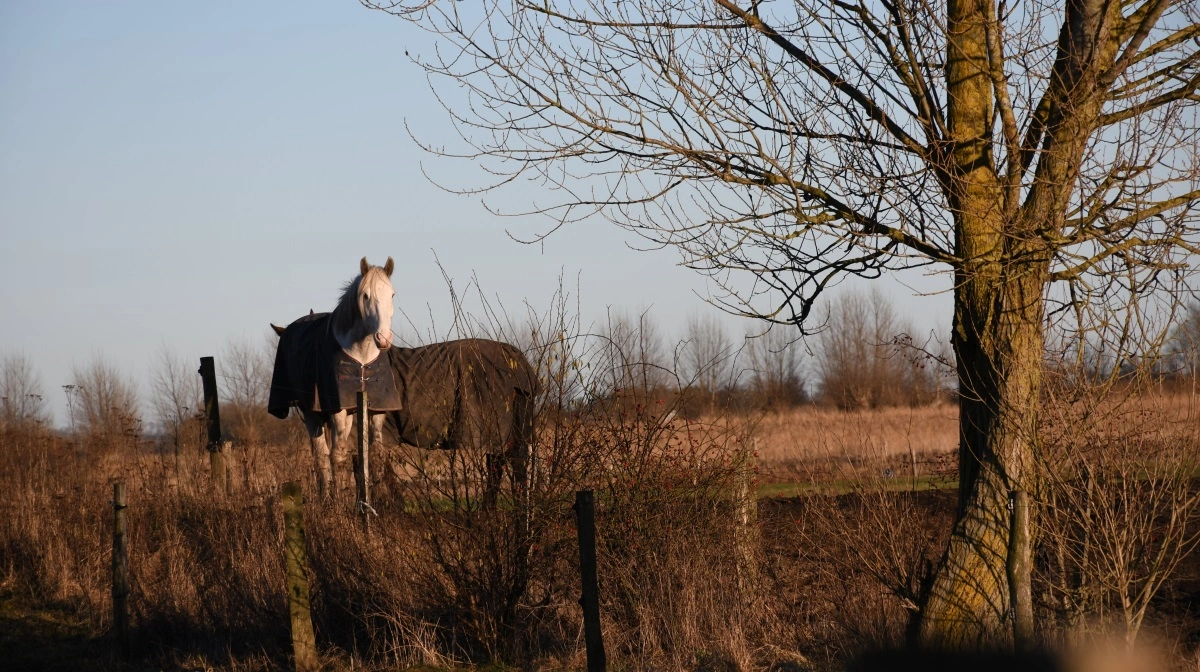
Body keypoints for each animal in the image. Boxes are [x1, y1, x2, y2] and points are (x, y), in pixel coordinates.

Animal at [268, 256, 396, 499]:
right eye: (365, 296)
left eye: (392, 294)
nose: (383, 338)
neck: (361, 354)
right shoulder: (336, 407)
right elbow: (337, 456)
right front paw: (342, 499)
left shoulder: (376, 408)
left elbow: (375, 453)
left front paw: (379, 496)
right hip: (312, 413)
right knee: (321, 456)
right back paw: (327, 497)